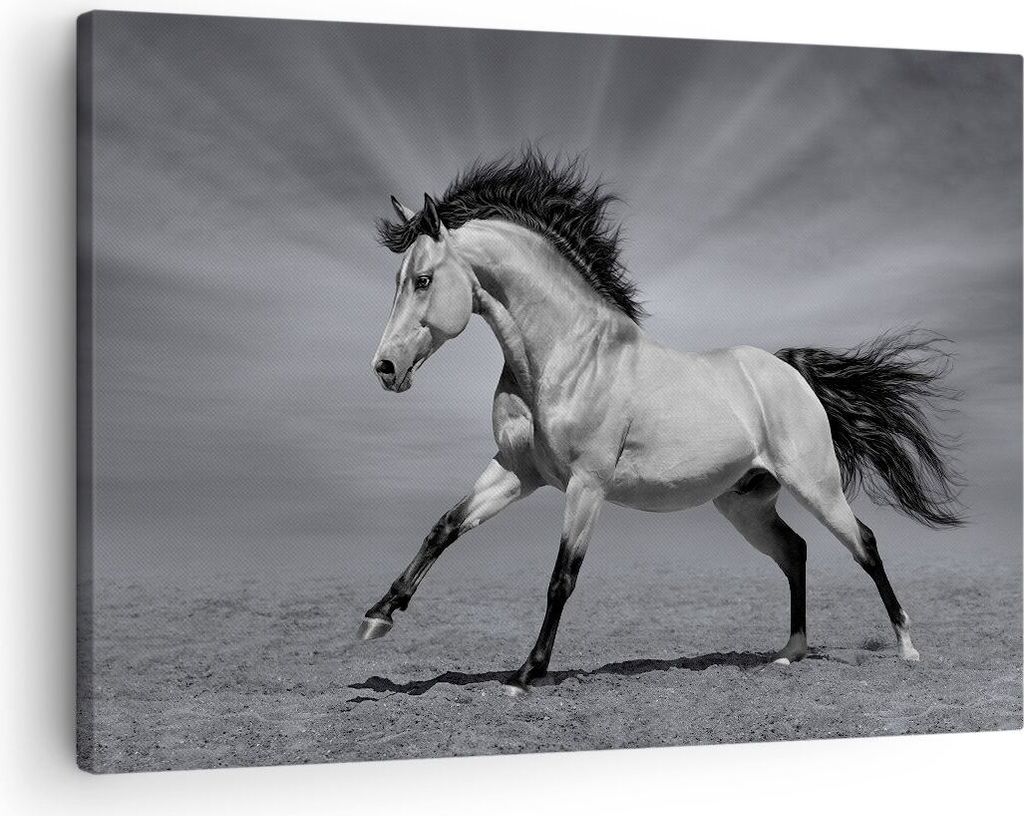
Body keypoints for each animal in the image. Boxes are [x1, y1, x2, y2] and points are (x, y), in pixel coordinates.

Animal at [359, 150, 963, 695]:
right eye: (398, 279)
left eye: (423, 280)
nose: (384, 368)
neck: (566, 356)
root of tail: (789, 371)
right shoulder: (516, 470)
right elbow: (444, 526)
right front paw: (377, 616)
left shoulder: (586, 485)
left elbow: (561, 578)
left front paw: (527, 674)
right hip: (745, 503)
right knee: (796, 551)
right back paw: (789, 653)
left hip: (816, 486)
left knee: (864, 544)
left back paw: (907, 648)